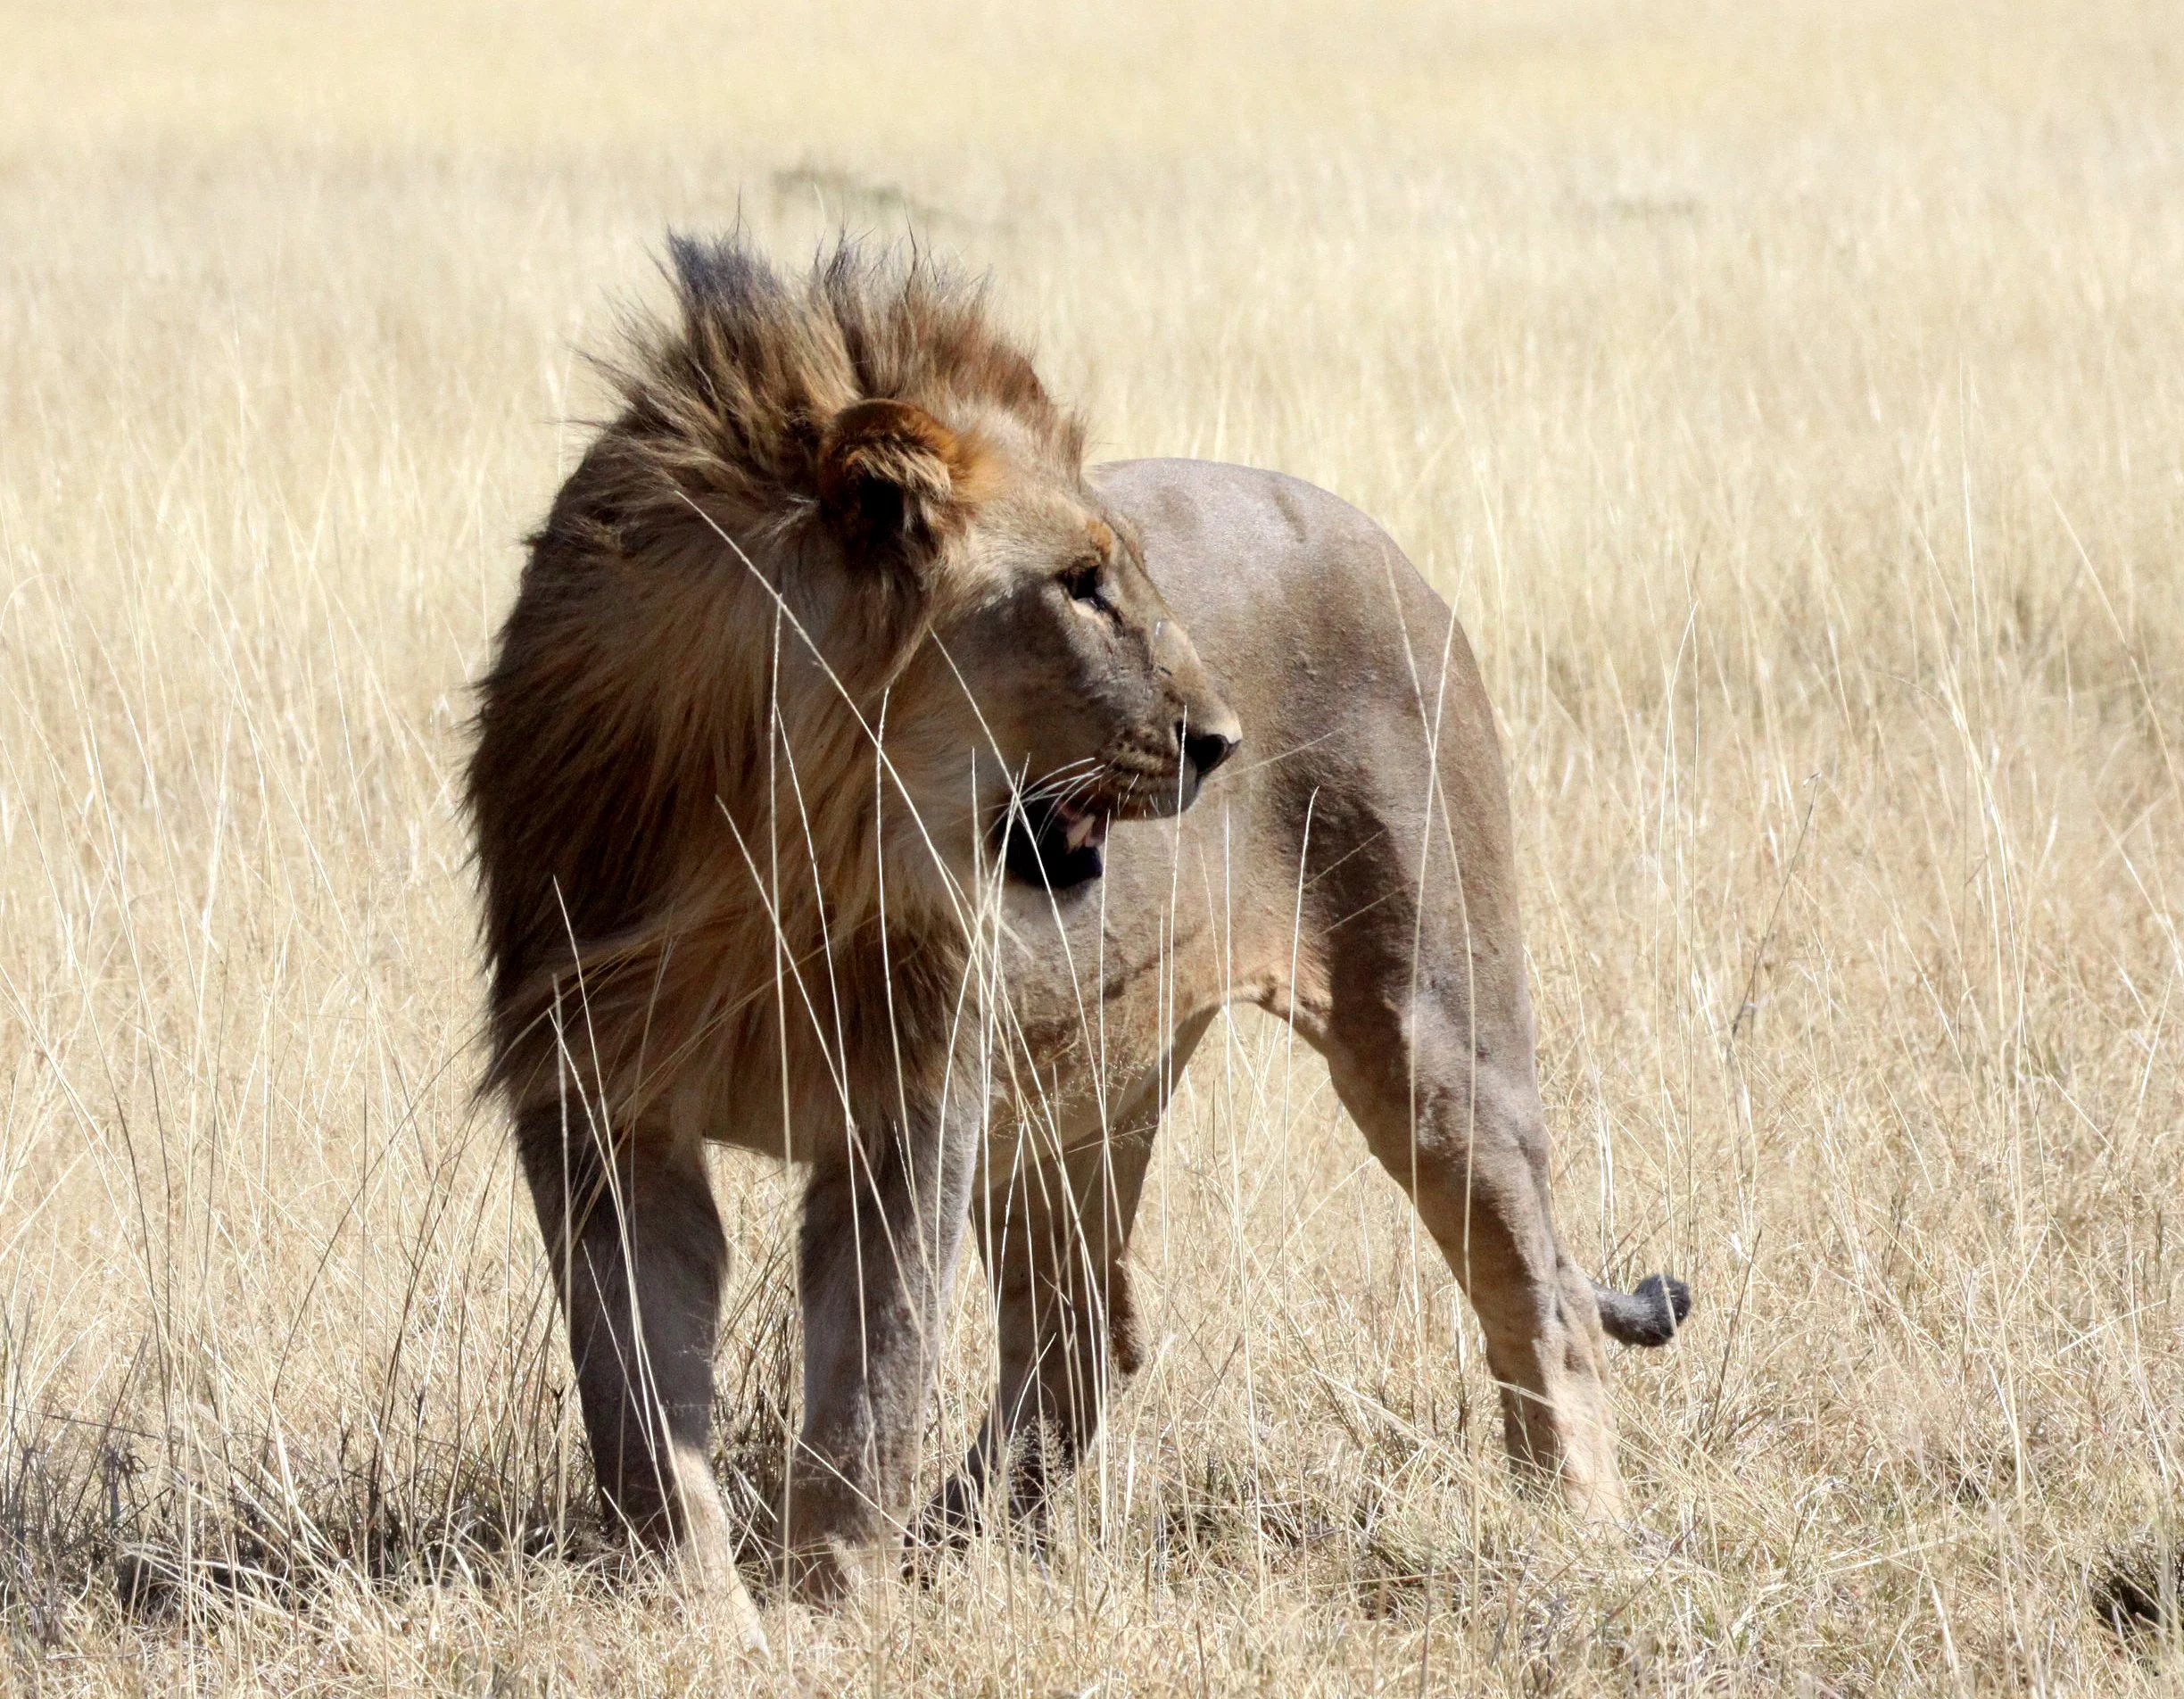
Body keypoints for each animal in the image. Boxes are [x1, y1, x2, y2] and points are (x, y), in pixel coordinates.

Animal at [465, 236, 1690, 1639]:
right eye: (1083, 585)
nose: (1220, 742)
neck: (782, 860)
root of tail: (1389, 548)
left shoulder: (914, 1104)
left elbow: (870, 1388)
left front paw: (838, 1611)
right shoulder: (597, 1100)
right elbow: (638, 1401)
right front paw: (705, 1615)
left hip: (1435, 1032)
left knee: (1538, 1292)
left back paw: (1580, 1533)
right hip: (1080, 1095)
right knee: (1084, 1334)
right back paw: (957, 1539)